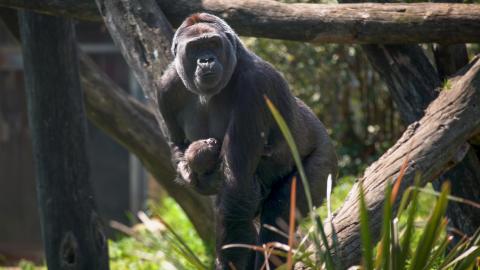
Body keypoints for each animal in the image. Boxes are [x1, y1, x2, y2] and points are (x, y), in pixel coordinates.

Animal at [158, 13, 338, 270]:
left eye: (213, 43)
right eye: (194, 48)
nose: (206, 60)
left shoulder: (255, 86)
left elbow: (237, 190)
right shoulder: (166, 86)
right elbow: (178, 147)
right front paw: (193, 172)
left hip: (325, 158)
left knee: (279, 213)